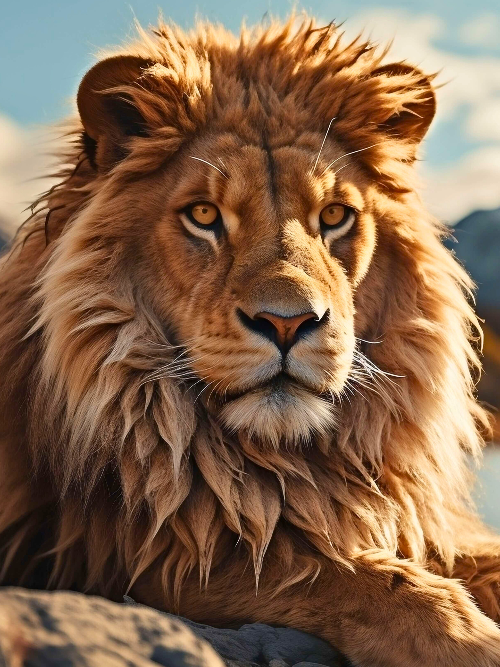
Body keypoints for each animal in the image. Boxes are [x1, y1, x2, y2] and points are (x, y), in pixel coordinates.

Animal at [2, 15, 500, 667]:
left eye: (334, 216)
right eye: (203, 215)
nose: (288, 323)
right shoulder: (144, 552)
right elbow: (351, 577)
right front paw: (468, 637)